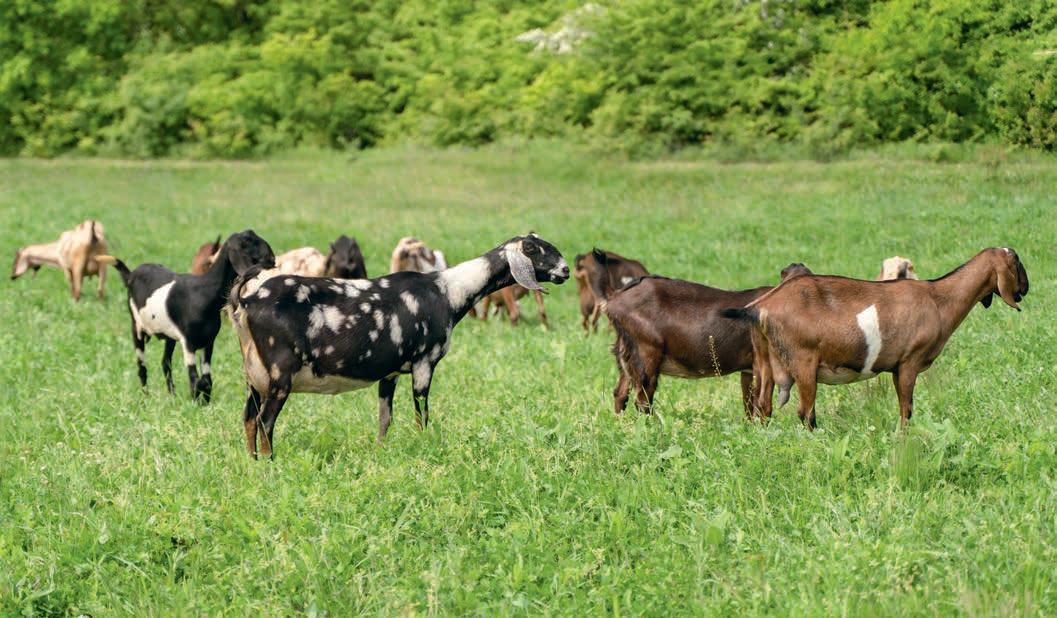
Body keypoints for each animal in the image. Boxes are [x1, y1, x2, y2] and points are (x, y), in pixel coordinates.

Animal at [97, 231, 276, 402]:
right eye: (246, 242)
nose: (272, 259)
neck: (204, 291)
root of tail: (131, 274)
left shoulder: (208, 342)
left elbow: (206, 380)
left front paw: (204, 404)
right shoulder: (188, 342)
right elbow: (195, 379)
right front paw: (196, 403)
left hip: (169, 336)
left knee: (165, 363)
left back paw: (172, 396)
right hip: (137, 327)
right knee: (142, 367)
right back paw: (145, 397)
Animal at [228, 233, 569, 458]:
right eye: (535, 250)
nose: (565, 270)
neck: (447, 291)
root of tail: (244, 302)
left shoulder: (389, 374)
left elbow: (385, 420)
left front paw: (380, 452)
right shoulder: (424, 363)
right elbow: (422, 415)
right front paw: (424, 446)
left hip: (254, 377)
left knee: (248, 419)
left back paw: (252, 462)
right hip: (280, 374)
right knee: (265, 422)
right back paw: (270, 463)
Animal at [594, 248, 812, 417]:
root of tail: (614, 296)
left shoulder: (747, 369)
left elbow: (749, 406)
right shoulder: (761, 363)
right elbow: (763, 406)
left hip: (625, 354)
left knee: (620, 394)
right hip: (646, 353)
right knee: (642, 399)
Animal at [723, 248, 1028, 429]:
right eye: (1017, 264)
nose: (1026, 287)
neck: (939, 298)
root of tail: (762, 306)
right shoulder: (909, 361)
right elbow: (907, 408)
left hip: (764, 361)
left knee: (763, 407)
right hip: (803, 361)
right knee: (805, 412)